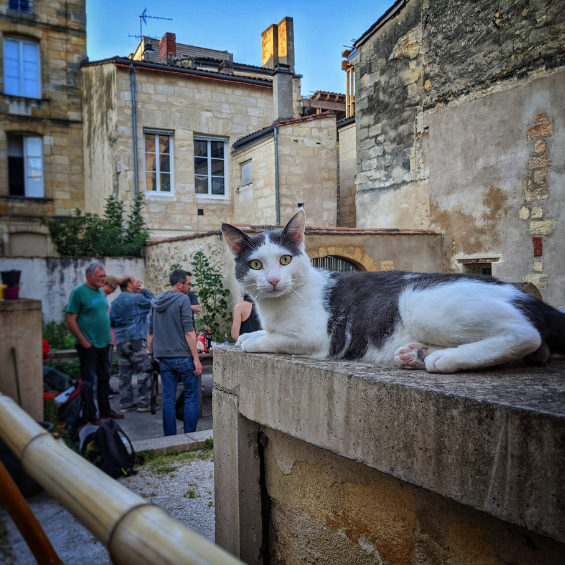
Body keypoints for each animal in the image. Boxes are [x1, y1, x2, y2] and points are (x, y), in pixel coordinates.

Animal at [220, 209, 564, 372]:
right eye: (255, 265)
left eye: (285, 259)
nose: (273, 280)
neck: (275, 308)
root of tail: (520, 293)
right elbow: (257, 333)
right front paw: (250, 335)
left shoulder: (315, 336)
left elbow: (271, 340)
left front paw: (253, 341)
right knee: (539, 351)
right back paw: (417, 354)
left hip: (419, 302)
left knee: (526, 336)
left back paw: (443, 359)